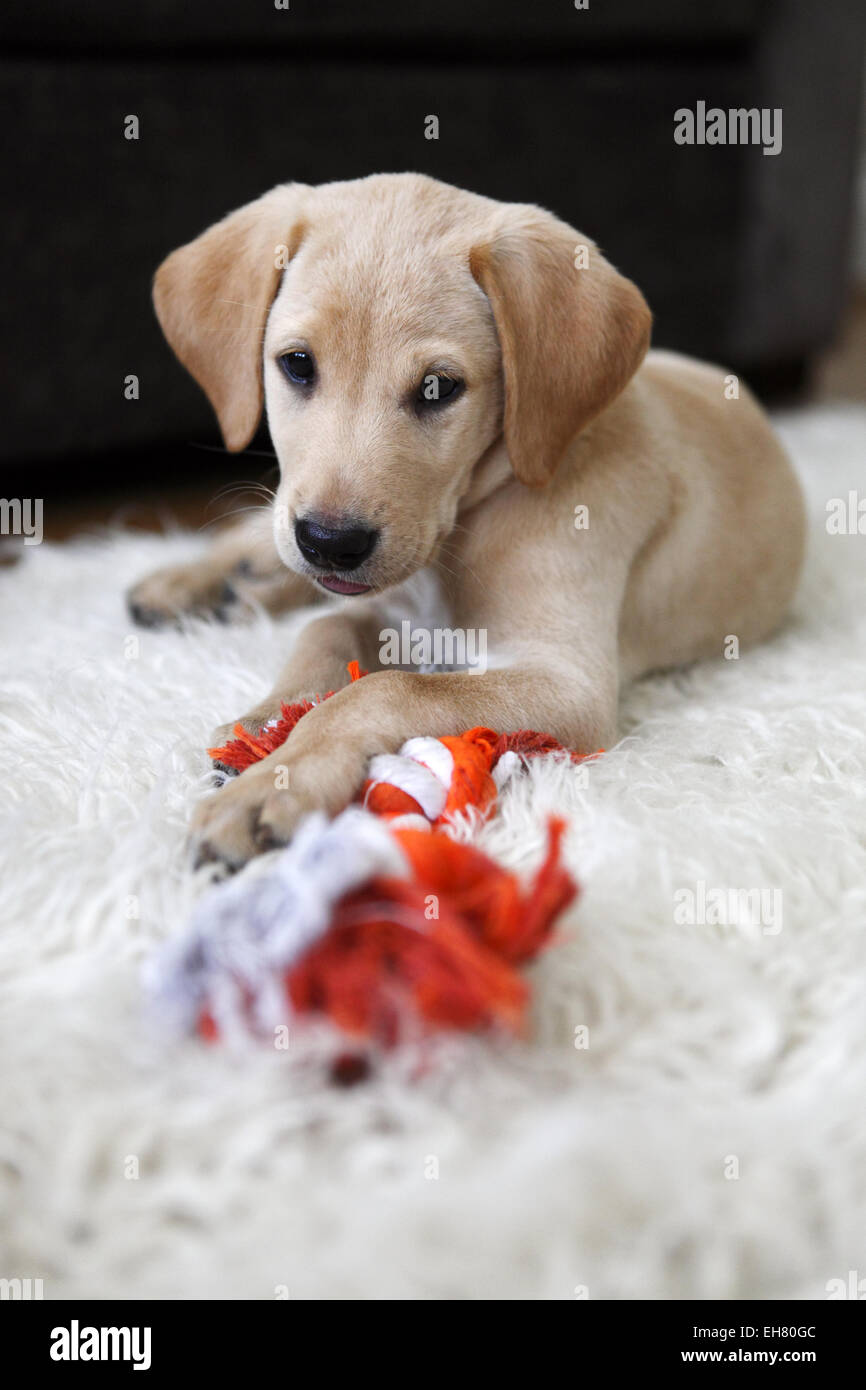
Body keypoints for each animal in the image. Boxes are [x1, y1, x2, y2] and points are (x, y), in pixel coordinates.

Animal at [128, 173, 806, 861]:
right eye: (296, 364)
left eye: (438, 388)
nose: (330, 542)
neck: (469, 521)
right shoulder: (391, 603)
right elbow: (325, 629)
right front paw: (269, 718)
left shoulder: (568, 679)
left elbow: (386, 685)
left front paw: (276, 779)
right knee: (262, 545)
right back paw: (187, 582)